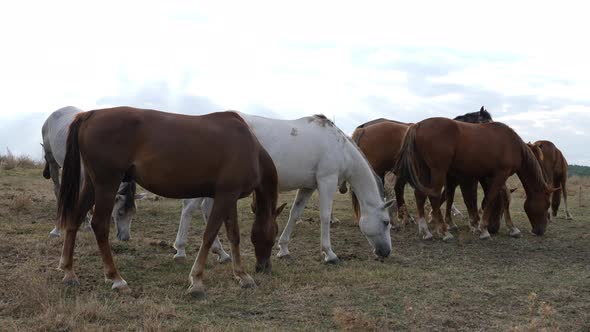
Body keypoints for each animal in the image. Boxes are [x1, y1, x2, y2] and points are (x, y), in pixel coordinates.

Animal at [42, 106, 146, 239]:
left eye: (134, 212)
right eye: (120, 212)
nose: (125, 238)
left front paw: (87, 224)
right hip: (52, 162)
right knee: (58, 190)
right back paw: (57, 229)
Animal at [57, 107, 286, 298]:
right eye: (273, 235)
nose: (264, 267)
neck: (249, 147)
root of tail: (90, 114)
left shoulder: (230, 197)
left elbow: (234, 236)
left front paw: (242, 276)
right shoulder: (225, 195)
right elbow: (209, 234)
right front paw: (197, 281)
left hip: (92, 185)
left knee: (74, 219)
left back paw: (69, 272)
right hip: (107, 183)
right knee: (99, 225)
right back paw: (116, 278)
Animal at [173, 113, 396, 264]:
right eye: (386, 222)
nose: (386, 252)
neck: (340, 147)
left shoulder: (308, 186)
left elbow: (295, 214)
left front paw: (283, 248)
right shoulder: (327, 181)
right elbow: (325, 217)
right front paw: (329, 253)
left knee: (205, 210)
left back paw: (221, 253)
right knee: (189, 208)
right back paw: (181, 250)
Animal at [396, 116, 556, 239]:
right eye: (546, 204)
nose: (540, 231)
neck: (512, 143)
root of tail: (417, 125)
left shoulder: (490, 176)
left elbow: (499, 198)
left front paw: (511, 228)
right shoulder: (501, 174)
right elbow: (490, 198)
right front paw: (483, 229)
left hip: (424, 171)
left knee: (420, 195)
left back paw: (425, 231)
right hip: (437, 171)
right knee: (434, 196)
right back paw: (444, 231)